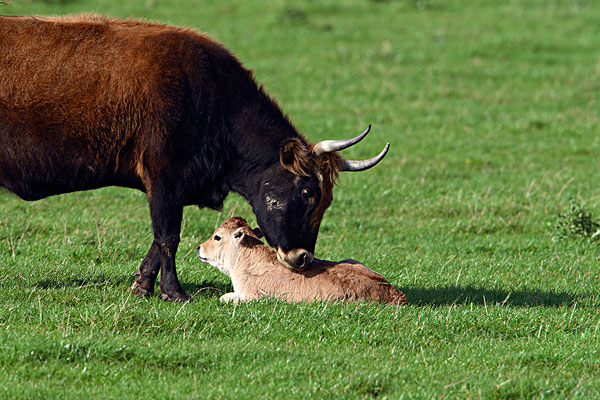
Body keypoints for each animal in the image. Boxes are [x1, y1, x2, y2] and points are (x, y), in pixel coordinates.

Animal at [1, 14, 390, 300]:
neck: (210, 95)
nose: (302, 258)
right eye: (308, 192)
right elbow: (167, 235)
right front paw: (173, 292)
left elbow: (160, 238)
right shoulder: (163, 175)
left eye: (326, 199)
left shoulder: (175, 185)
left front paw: (143, 285)